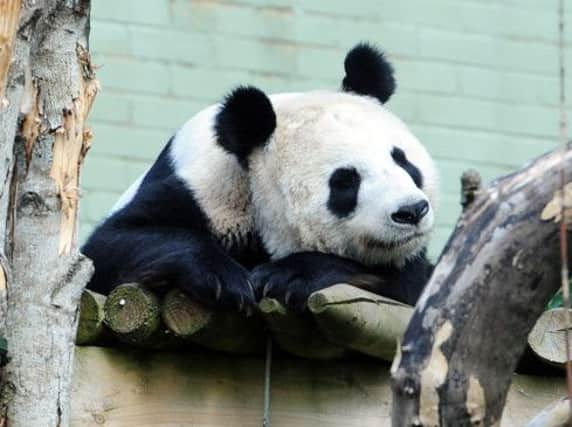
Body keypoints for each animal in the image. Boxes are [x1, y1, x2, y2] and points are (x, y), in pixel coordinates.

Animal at [81, 42, 438, 310]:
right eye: (345, 181)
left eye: (402, 161)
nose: (411, 211)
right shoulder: (205, 193)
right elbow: (108, 247)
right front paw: (224, 278)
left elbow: (409, 281)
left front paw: (286, 276)